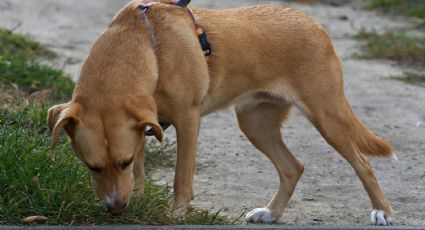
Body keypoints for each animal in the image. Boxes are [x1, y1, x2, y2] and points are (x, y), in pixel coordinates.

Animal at [48, 0, 394, 225]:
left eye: (122, 161)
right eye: (92, 167)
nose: (116, 209)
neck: (145, 46)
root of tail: (314, 24)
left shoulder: (187, 120)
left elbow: (181, 178)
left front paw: (176, 215)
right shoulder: (143, 127)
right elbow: (141, 173)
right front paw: (140, 200)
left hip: (327, 115)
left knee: (363, 164)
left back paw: (383, 212)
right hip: (255, 123)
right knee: (292, 167)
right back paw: (271, 213)